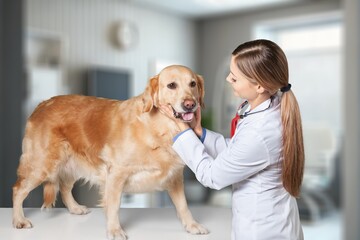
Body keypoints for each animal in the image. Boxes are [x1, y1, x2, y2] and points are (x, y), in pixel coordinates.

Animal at [11, 64, 208, 239]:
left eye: (192, 84)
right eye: (171, 85)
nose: (190, 104)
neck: (158, 128)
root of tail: (41, 104)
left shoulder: (175, 176)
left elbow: (183, 205)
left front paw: (192, 225)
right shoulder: (116, 173)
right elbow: (114, 205)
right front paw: (114, 230)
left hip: (72, 163)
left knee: (65, 188)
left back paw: (75, 208)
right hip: (41, 165)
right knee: (18, 189)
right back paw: (19, 219)